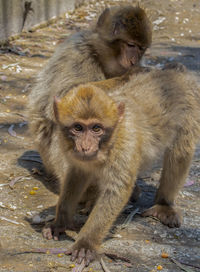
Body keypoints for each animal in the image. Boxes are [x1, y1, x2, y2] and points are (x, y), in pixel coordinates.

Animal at [39, 67, 200, 266]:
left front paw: (86, 243)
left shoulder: (125, 144)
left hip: (190, 110)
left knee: (180, 152)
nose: (85, 147)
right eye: (78, 128)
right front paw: (61, 222)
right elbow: (77, 175)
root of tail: (178, 72)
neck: (110, 139)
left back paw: (164, 203)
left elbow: (116, 191)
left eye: (96, 128)